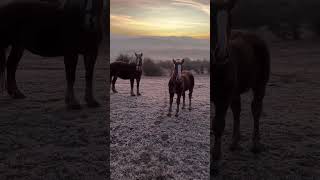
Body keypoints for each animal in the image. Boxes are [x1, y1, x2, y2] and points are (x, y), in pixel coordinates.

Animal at [211, 0, 272, 165]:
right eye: (211, 16)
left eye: (230, 19)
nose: (221, 54)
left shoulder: (223, 98)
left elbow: (218, 125)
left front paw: (215, 158)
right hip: (236, 91)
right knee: (237, 111)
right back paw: (234, 141)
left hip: (260, 85)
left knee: (256, 109)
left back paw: (255, 143)